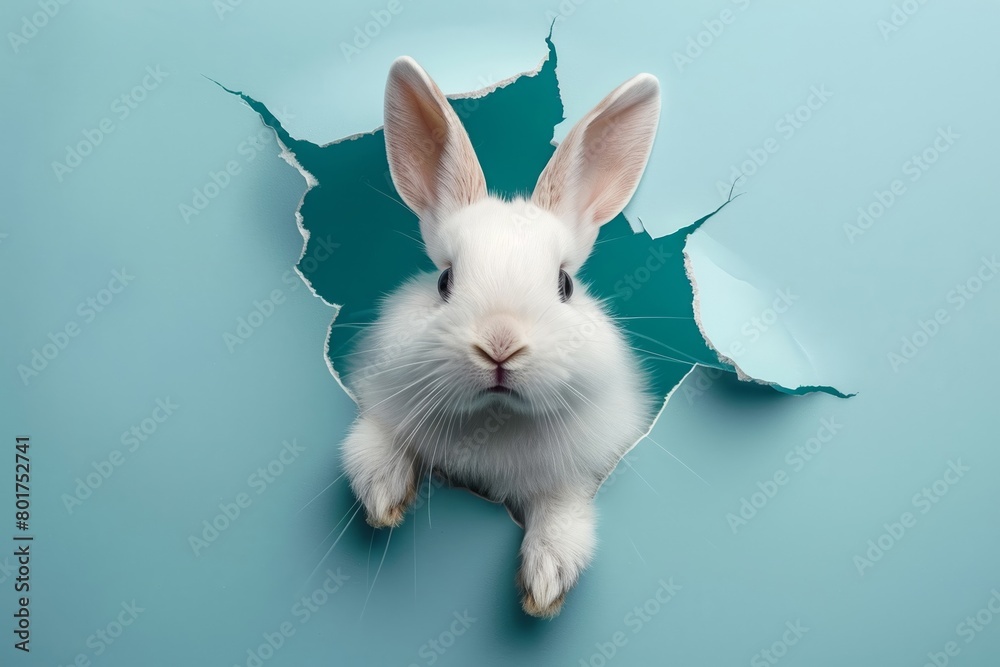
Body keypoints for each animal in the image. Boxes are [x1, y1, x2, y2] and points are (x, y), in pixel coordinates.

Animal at [341, 55, 661, 618]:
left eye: (565, 284)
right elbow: (371, 440)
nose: (500, 345)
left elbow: (561, 512)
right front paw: (383, 497)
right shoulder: (379, 395)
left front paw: (545, 584)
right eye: (444, 281)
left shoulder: (578, 474)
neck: (496, 419)